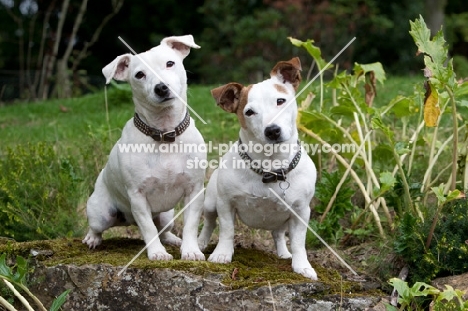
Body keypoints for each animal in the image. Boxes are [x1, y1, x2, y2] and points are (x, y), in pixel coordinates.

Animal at [82, 35, 207, 262]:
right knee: (96, 227)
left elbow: (191, 225)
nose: (161, 87)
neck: (164, 133)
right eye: (139, 75)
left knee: (163, 230)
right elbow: (148, 228)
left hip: (166, 216)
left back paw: (173, 240)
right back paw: (92, 239)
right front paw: (157, 253)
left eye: (170, 63)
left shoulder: (194, 191)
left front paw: (191, 250)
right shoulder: (138, 197)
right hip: (101, 214)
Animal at [197, 58, 318, 280]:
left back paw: (283, 253)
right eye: (249, 112)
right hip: (210, 202)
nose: (272, 130)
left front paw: (302, 266)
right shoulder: (225, 203)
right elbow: (227, 230)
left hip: (282, 220)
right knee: (209, 222)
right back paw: (200, 243)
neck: (270, 167)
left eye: (280, 100)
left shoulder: (300, 212)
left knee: (278, 234)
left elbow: (298, 242)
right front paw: (222, 254)